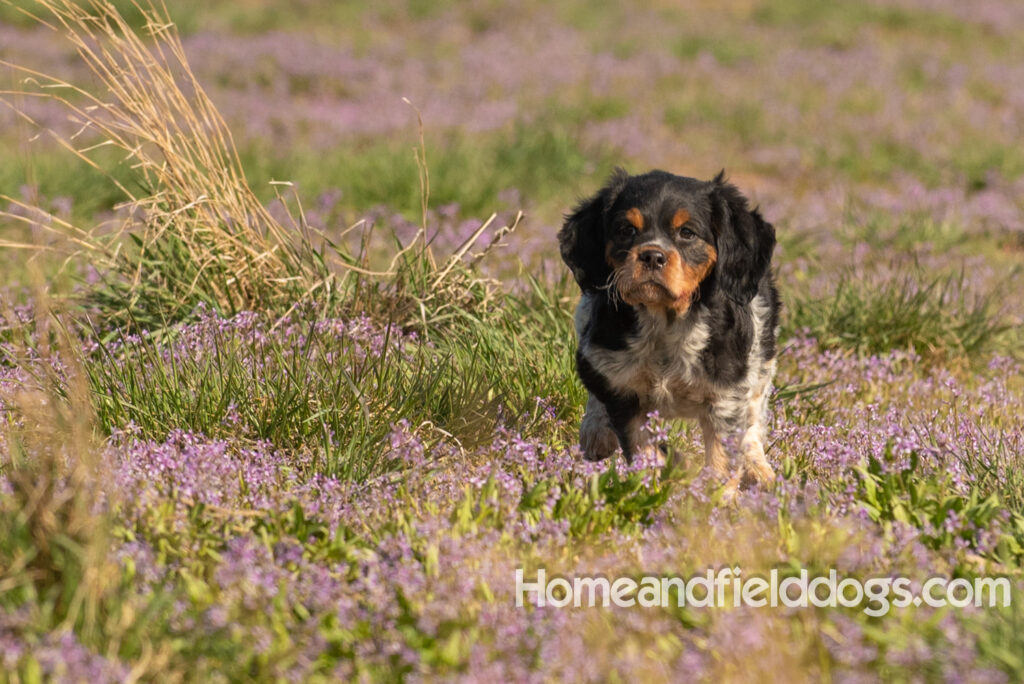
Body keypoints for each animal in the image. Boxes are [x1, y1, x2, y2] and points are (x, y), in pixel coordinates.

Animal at [557, 168, 778, 493]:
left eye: (687, 233)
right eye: (626, 230)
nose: (652, 255)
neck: (663, 321)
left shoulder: (726, 393)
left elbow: (724, 454)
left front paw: (714, 499)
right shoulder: (622, 389)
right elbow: (643, 446)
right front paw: (661, 479)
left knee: (754, 412)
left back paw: (758, 468)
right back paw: (595, 433)